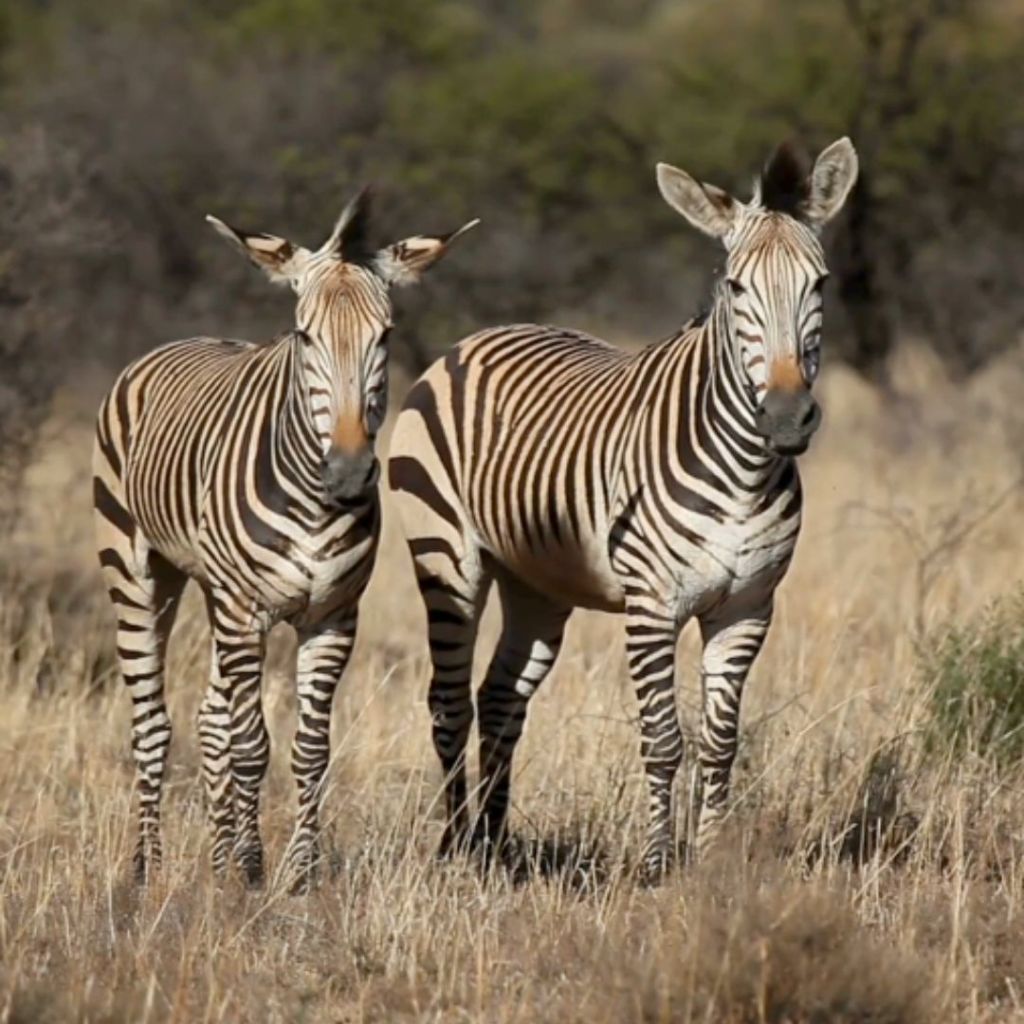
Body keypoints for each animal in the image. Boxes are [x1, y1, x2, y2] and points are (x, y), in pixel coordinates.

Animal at [93, 188, 477, 888]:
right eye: (305, 335)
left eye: (386, 336)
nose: (349, 473)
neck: (312, 502)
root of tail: (180, 341)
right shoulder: (247, 613)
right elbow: (253, 745)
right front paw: (251, 866)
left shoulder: (332, 617)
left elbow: (309, 747)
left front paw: (299, 870)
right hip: (138, 574)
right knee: (154, 724)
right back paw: (149, 865)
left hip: (208, 592)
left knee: (210, 716)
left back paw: (214, 855)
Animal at [388, 139, 858, 880]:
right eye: (734, 286)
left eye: (821, 283)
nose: (787, 418)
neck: (744, 474)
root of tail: (478, 337)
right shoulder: (652, 605)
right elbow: (664, 738)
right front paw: (658, 866)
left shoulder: (748, 607)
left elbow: (722, 742)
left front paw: (712, 862)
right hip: (447, 557)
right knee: (449, 700)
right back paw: (456, 845)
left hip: (538, 583)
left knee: (500, 697)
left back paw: (496, 846)